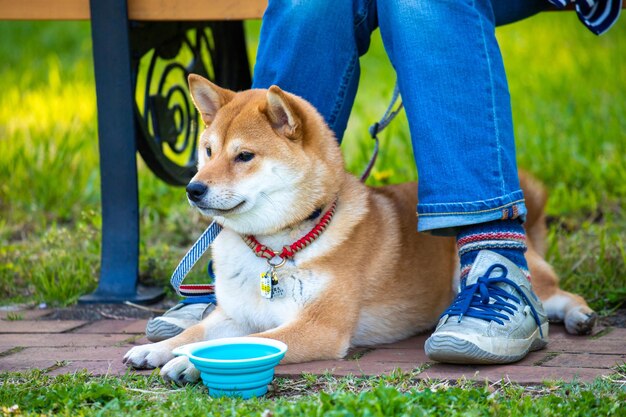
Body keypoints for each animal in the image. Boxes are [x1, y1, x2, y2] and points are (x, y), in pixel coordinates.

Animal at [123, 75, 596, 384]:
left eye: (244, 156)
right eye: (207, 151)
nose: (193, 189)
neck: (277, 249)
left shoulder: (318, 328)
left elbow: (232, 344)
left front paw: (188, 361)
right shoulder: (235, 315)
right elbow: (195, 333)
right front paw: (158, 348)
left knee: (555, 296)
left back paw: (579, 316)